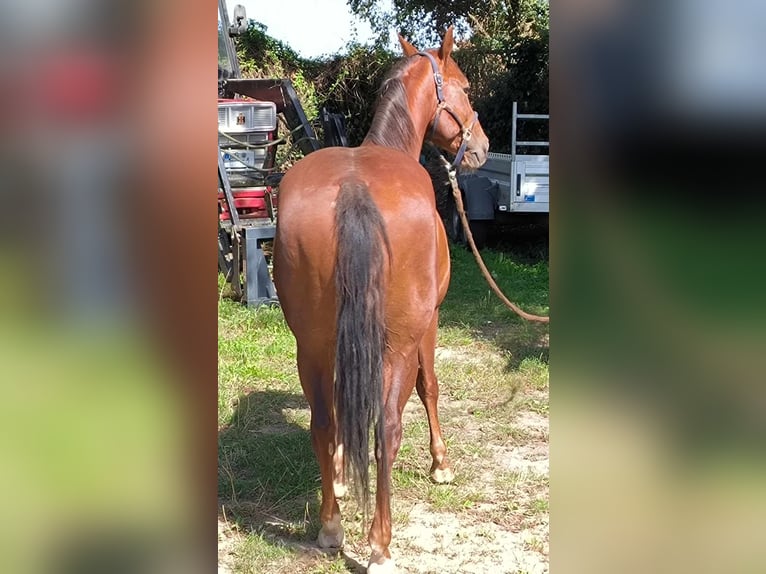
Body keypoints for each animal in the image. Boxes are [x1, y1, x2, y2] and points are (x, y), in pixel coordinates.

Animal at [276, 28, 488, 572]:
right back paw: (380, 546)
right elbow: (430, 389)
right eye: (464, 87)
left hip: (310, 346)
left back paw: (331, 527)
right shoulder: (429, 325)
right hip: (398, 345)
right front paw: (441, 464)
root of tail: (355, 189)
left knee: (324, 422)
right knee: (386, 430)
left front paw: (340, 481)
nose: (481, 146)